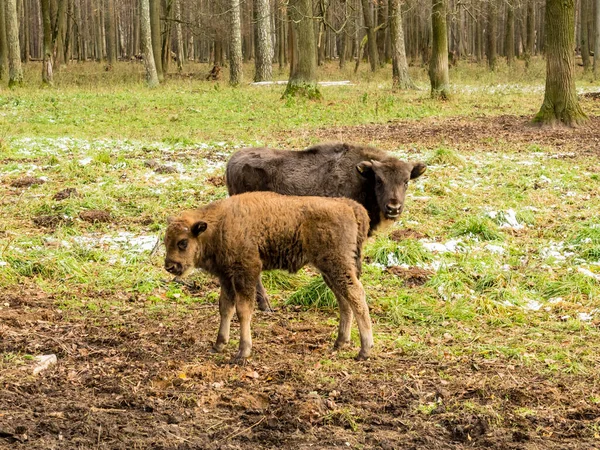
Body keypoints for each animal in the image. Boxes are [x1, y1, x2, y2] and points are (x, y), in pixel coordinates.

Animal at [162, 192, 372, 364]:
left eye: (183, 242)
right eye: (165, 241)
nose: (170, 266)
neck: (220, 225)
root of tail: (349, 206)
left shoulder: (247, 273)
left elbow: (243, 310)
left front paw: (242, 352)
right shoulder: (226, 277)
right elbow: (225, 308)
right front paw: (218, 344)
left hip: (337, 265)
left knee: (356, 295)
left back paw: (364, 350)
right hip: (330, 270)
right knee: (344, 300)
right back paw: (340, 342)